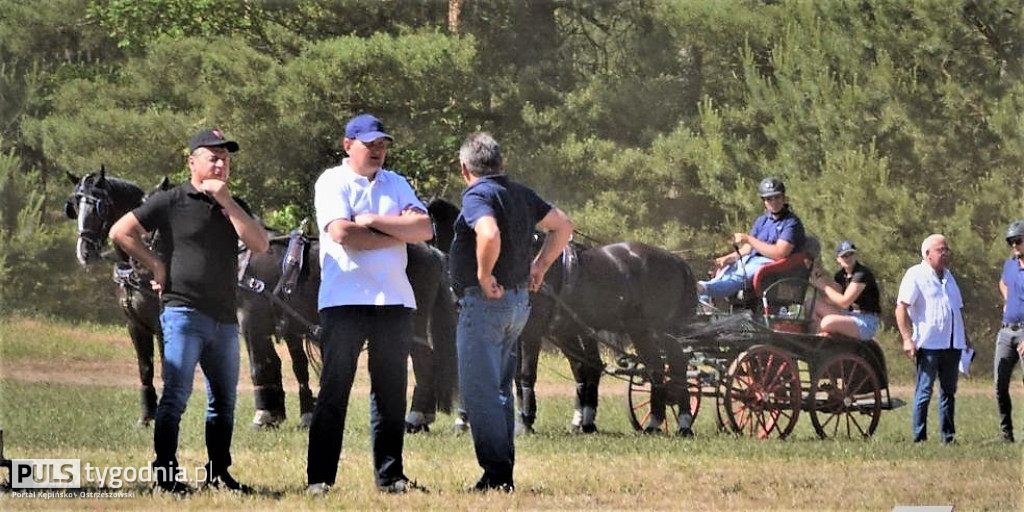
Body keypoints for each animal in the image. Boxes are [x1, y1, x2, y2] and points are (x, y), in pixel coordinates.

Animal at [428, 197, 700, 434]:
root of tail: (676, 261)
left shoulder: (532, 330)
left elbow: (526, 374)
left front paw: (526, 421)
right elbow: (511, 375)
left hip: (652, 330)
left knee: (666, 365)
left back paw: (667, 422)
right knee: (663, 365)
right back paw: (668, 422)